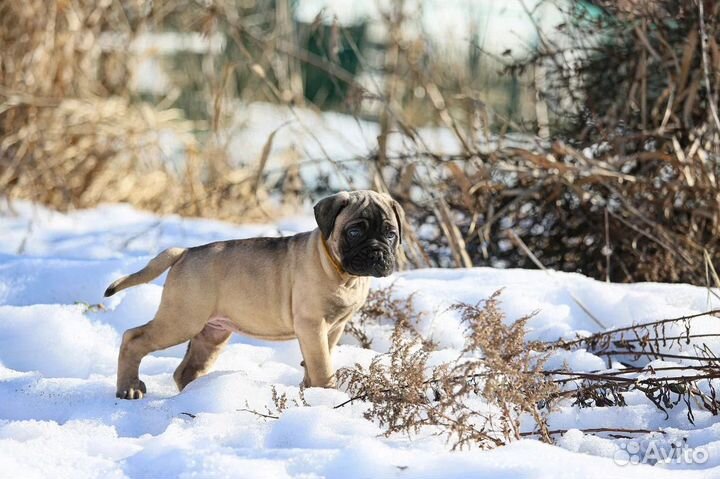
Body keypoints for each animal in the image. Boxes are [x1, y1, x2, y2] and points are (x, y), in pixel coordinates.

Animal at [104, 189, 404, 400]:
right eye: (353, 232)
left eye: (390, 234)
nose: (377, 253)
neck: (343, 274)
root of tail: (184, 252)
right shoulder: (312, 325)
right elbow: (321, 364)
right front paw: (326, 395)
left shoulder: (333, 328)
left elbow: (318, 359)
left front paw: (310, 390)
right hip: (180, 319)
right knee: (133, 338)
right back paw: (129, 388)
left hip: (212, 332)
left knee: (186, 369)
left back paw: (198, 395)